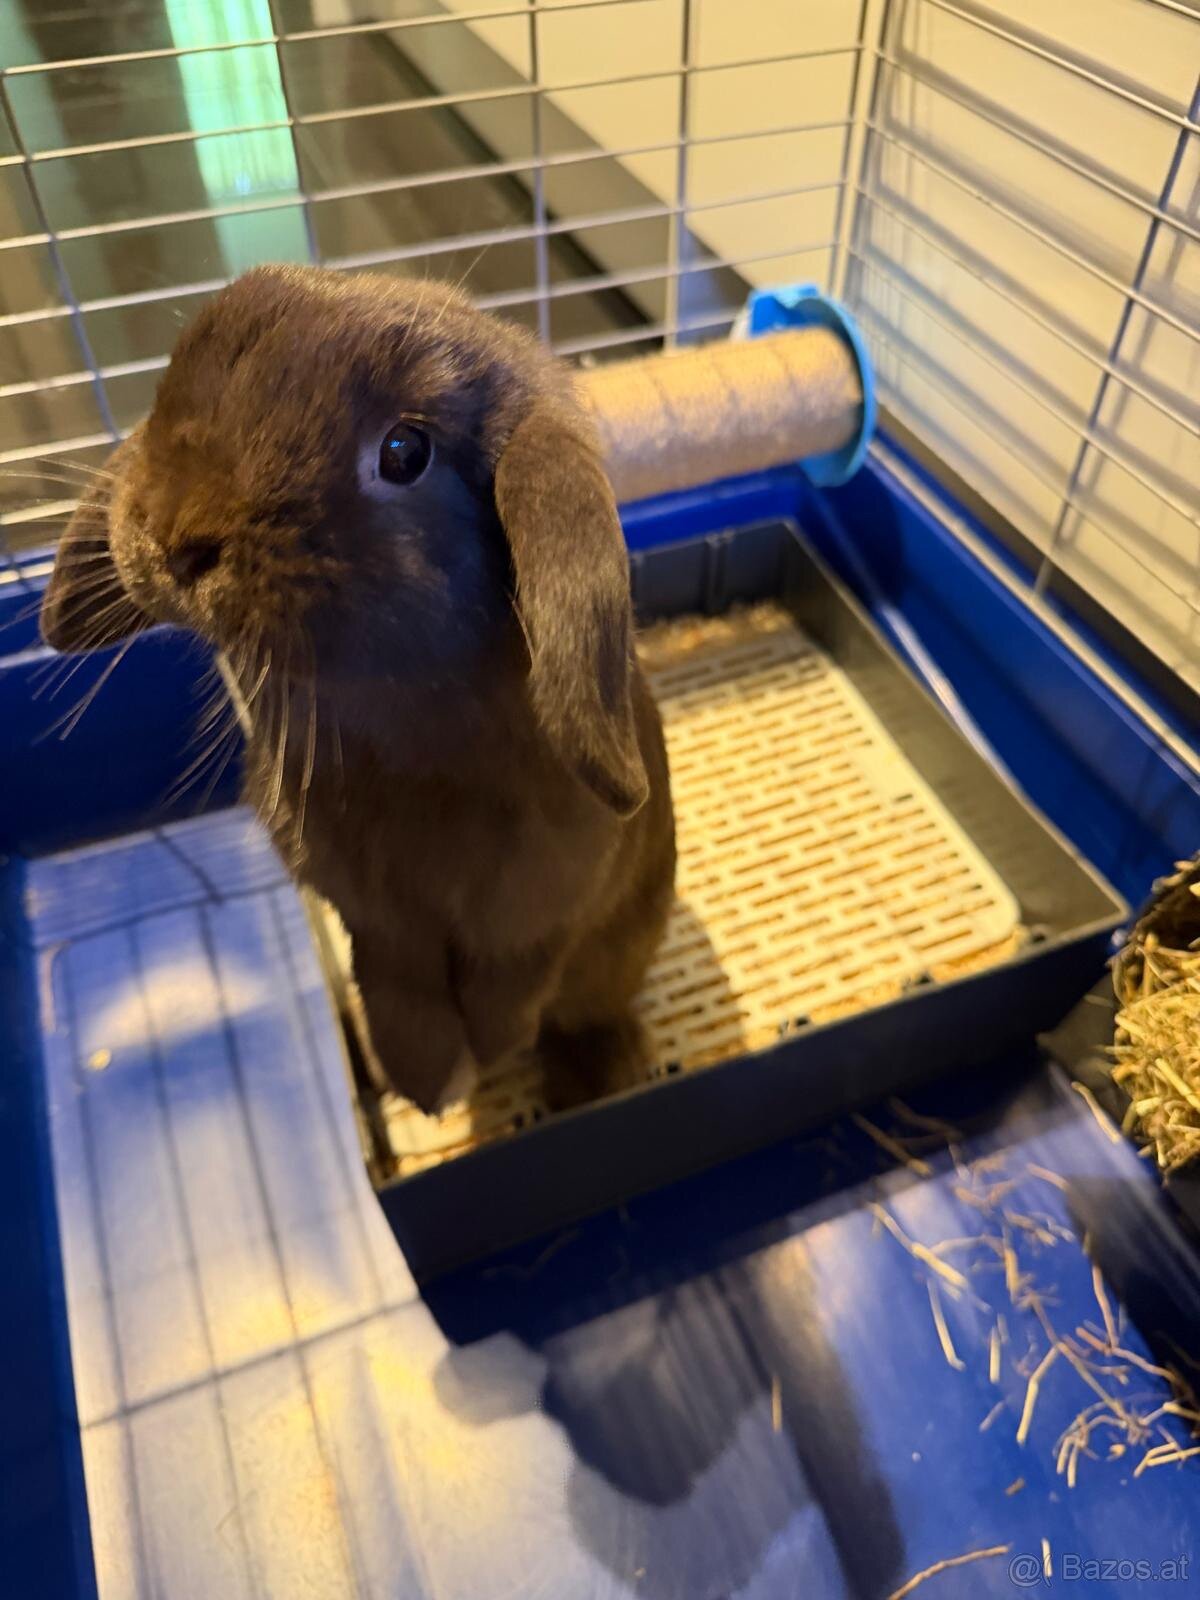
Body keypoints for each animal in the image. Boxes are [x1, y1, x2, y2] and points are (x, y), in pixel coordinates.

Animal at [41, 264, 676, 1115]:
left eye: (405, 452)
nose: (171, 537)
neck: (407, 737)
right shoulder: (372, 916)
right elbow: (402, 993)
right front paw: (426, 1081)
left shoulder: (544, 904)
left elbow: (510, 984)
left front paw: (488, 1051)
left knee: (586, 1012)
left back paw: (597, 1076)